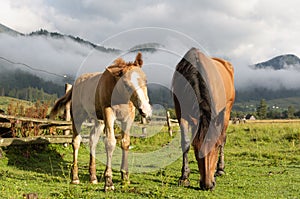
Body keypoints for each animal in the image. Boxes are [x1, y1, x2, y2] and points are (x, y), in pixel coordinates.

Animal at [50, 52, 152, 191]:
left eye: (145, 80)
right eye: (126, 84)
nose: (145, 110)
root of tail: (75, 85)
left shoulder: (128, 118)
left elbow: (125, 143)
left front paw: (125, 177)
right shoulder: (108, 113)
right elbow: (110, 142)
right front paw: (108, 182)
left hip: (99, 121)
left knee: (92, 140)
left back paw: (93, 177)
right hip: (78, 116)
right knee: (76, 141)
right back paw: (75, 177)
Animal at [172, 47, 236, 190]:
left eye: (216, 146)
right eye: (196, 147)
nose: (207, 184)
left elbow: (220, 139)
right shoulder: (180, 112)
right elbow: (185, 142)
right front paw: (184, 176)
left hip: (227, 111)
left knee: (223, 137)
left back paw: (220, 169)